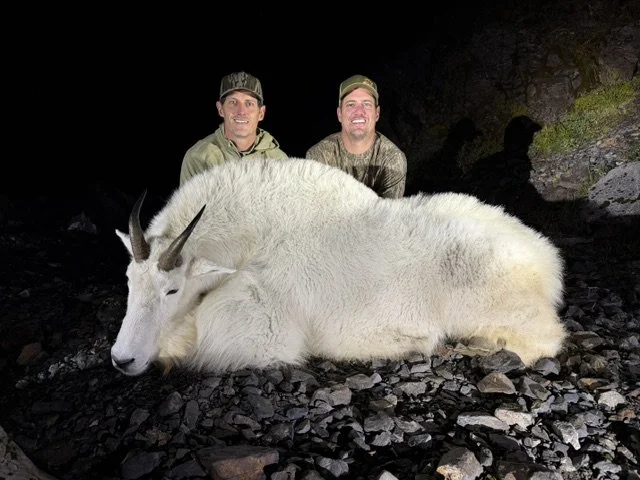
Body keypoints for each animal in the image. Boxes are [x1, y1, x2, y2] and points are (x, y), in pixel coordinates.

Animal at [111, 158, 566, 376]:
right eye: (129, 281)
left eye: (172, 289)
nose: (121, 359)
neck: (253, 238)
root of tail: (546, 261)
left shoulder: (264, 333)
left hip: (492, 307)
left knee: (546, 338)